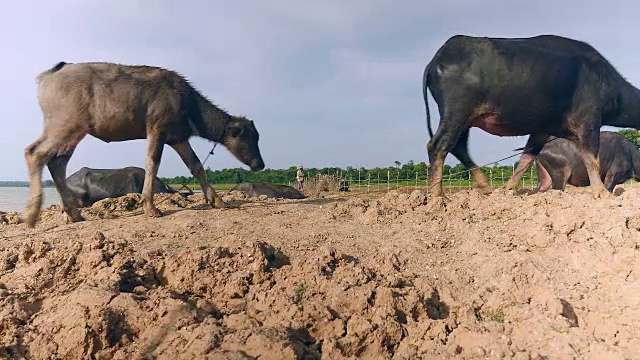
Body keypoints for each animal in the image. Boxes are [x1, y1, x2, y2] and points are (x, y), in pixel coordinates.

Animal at [24, 60, 264, 226]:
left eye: (257, 136)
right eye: (248, 137)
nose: (259, 164)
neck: (187, 102)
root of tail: (49, 75)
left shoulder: (178, 138)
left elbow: (196, 166)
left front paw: (217, 200)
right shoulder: (157, 129)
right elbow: (152, 163)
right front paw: (150, 206)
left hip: (76, 132)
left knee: (57, 163)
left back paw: (74, 214)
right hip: (63, 124)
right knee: (34, 152)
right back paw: (31, 213)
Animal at [422, 35, 640, 201]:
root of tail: (435, 61)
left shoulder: (542, 129)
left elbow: (527, 156)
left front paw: (507, 189)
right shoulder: (590, 121)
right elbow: (591, 158)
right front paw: (602, 194)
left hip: (465, 119)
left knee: (459, 147)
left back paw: (485, 186)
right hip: (456, 111)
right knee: (438, 145)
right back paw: (438, 197)